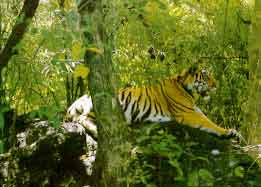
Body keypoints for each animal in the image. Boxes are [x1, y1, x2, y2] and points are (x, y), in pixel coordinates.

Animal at [66, 64, 236, 139]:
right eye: (206, 76)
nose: (216, 85)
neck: (187, 89)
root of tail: (72, 106)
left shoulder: (194, 110)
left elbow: (208, 119)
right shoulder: (186, 113)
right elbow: (208, 123)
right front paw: (228, 132)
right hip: (98, 104)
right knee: (82, 119)